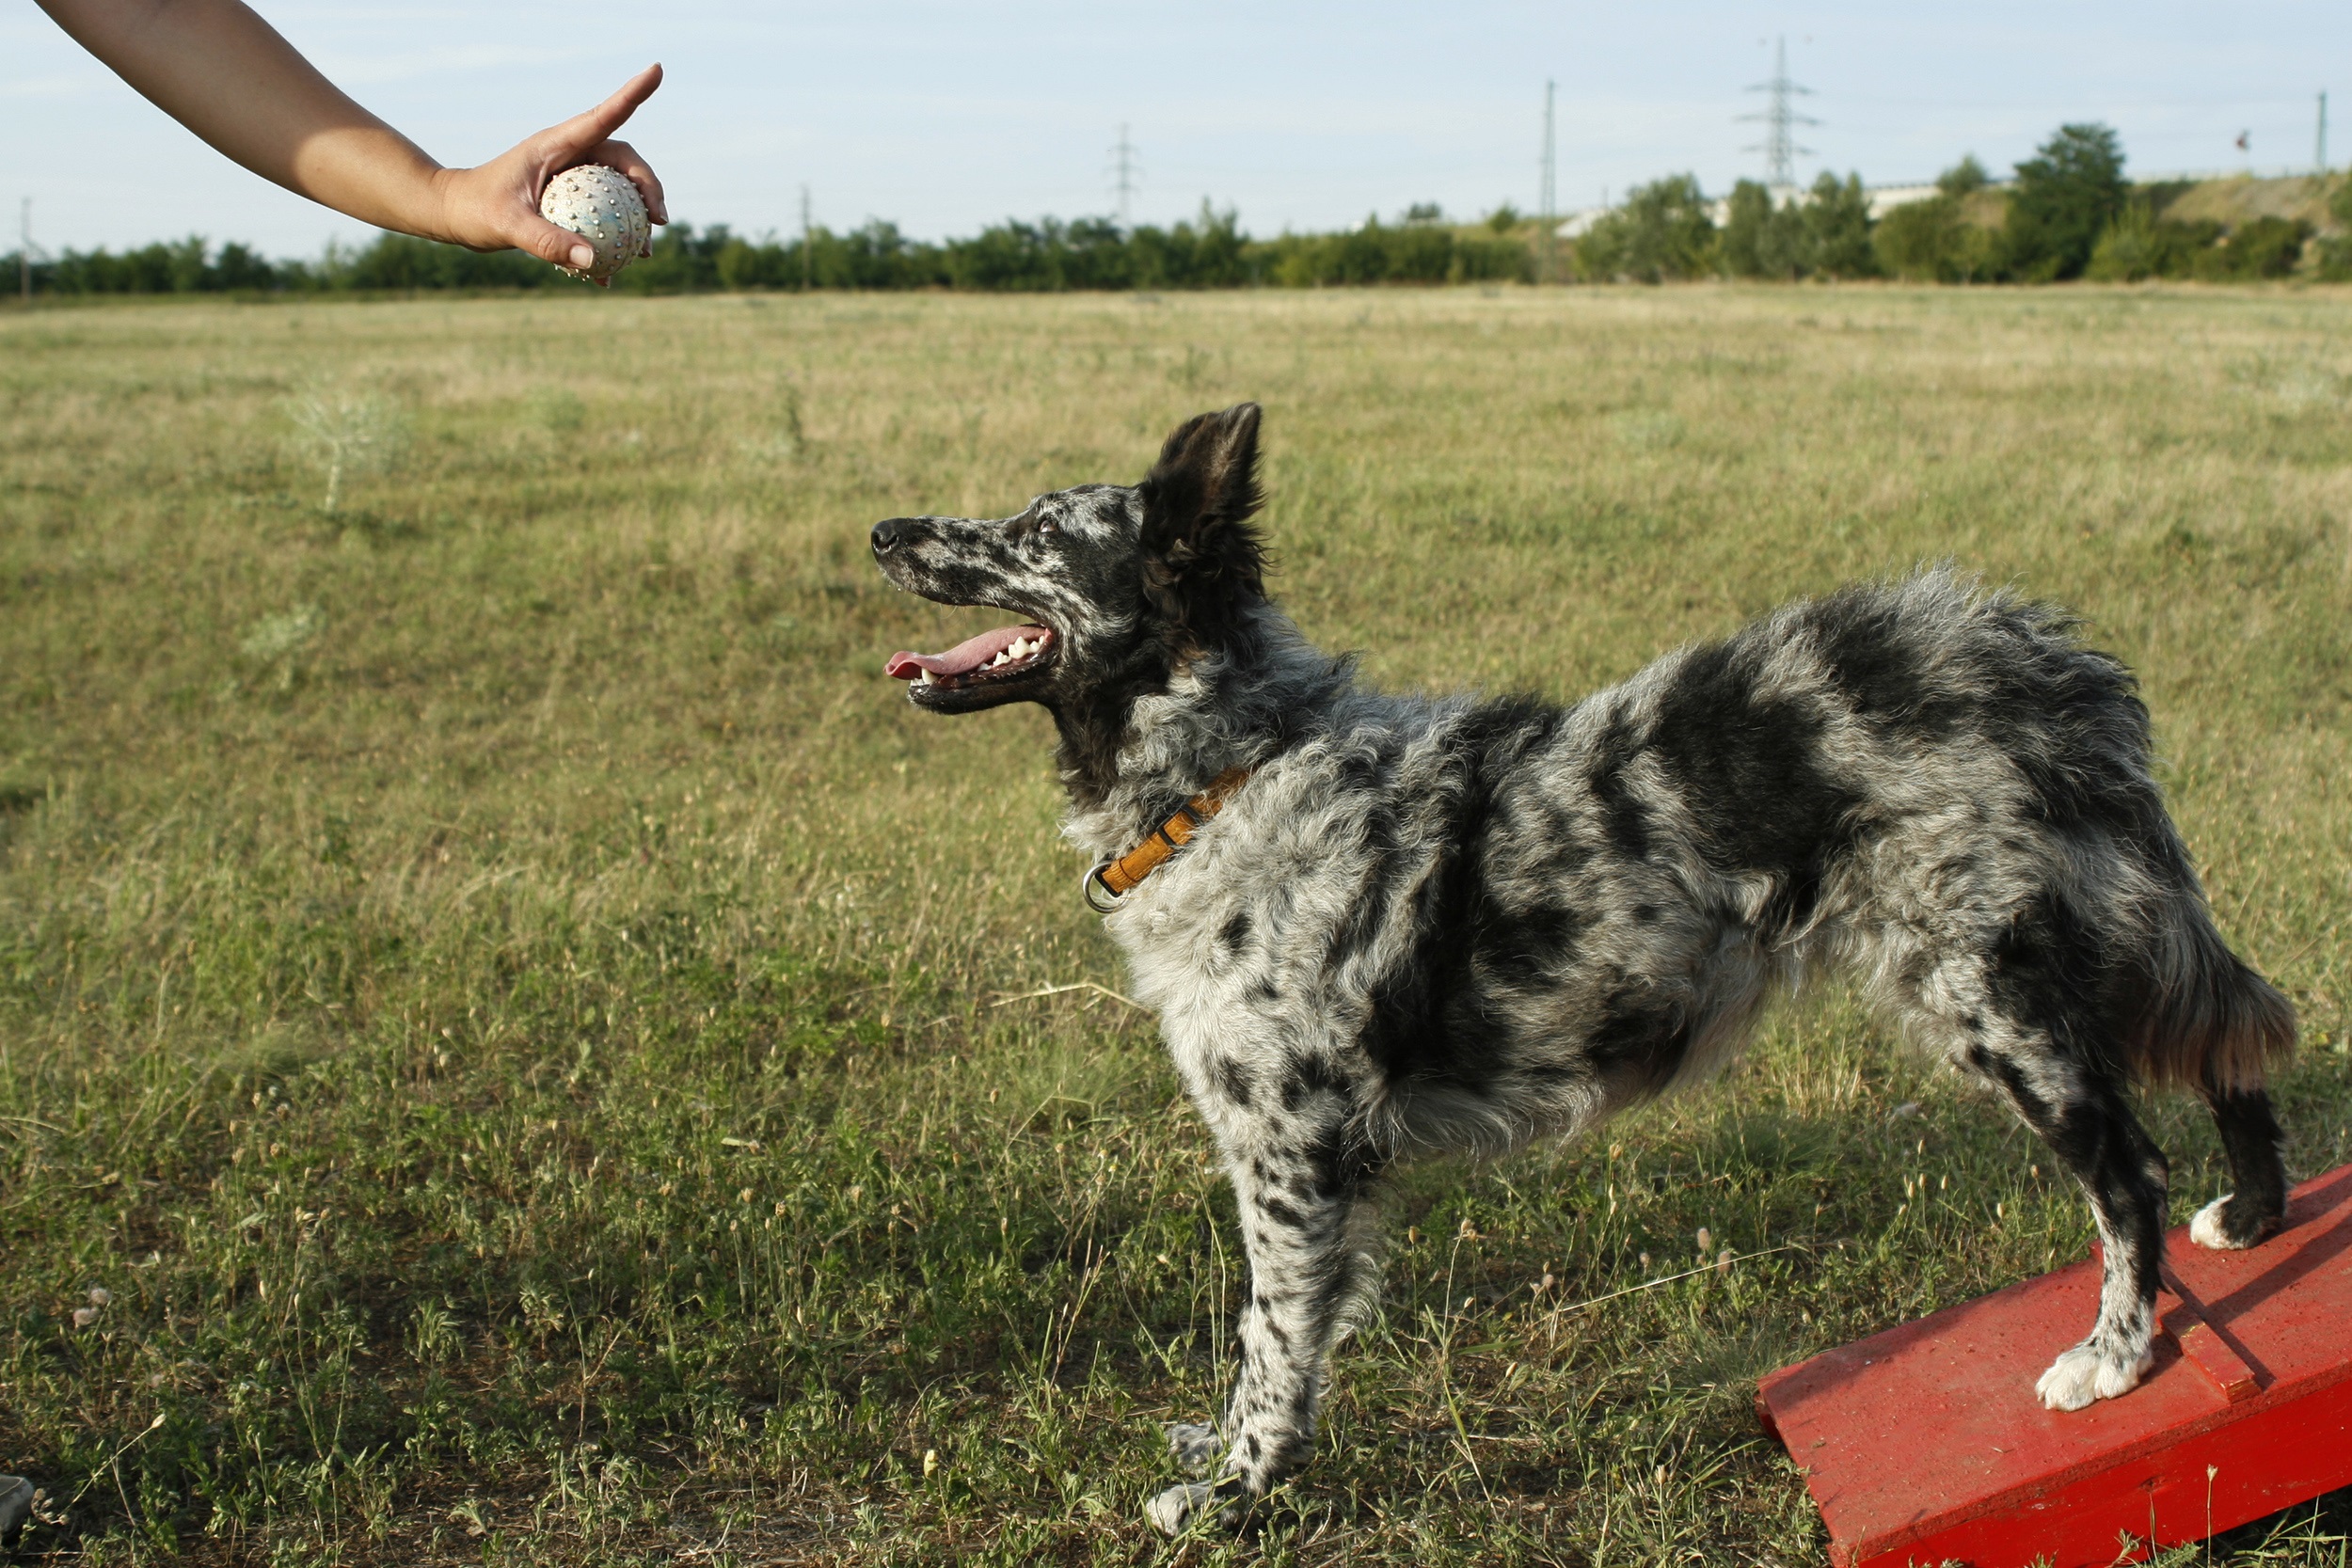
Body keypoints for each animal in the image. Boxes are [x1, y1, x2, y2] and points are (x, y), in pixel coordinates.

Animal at [866, 402, 2296, 1532]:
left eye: (1035, 530)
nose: (882, 529)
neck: (1237, 764)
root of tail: (2035, 653)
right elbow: (1266, 1339)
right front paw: (1219, 1452)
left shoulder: (1292, 1153)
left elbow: (1274, 1339)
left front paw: (1239, 1492)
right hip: (2099, 945)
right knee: (2230, 1044)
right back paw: (2256, 1213)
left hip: (1992, 1000)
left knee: (2128, 1169)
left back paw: (2114, 1354)